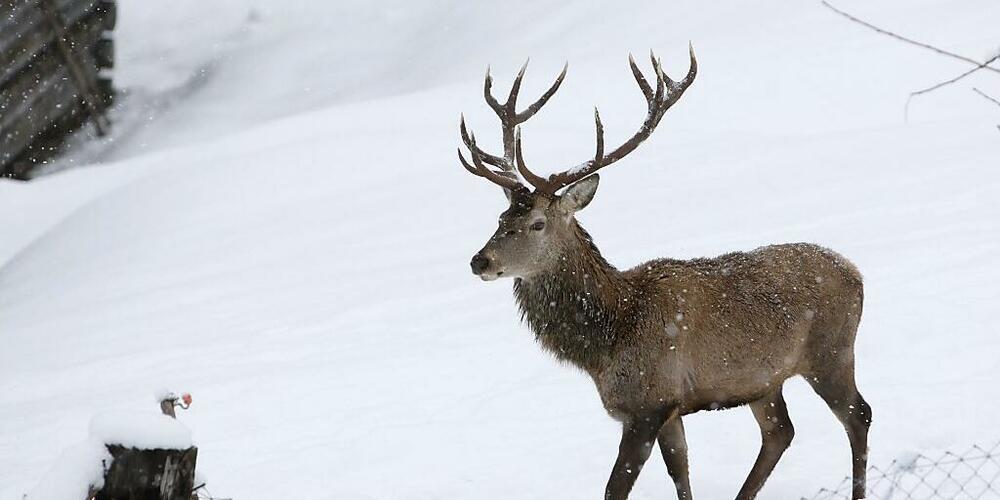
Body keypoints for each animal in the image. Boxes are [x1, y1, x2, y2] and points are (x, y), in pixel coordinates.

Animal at [456, 47, 872, 500]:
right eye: (501, 218)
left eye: (536, 224)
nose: (480, 261)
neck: (607, 339)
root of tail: (857, 273)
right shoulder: (670, 409)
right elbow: (681, 471)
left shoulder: (647, 405)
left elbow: (615, 488)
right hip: (764, 380)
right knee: (780, 431)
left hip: (832, 352)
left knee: (858, 415)